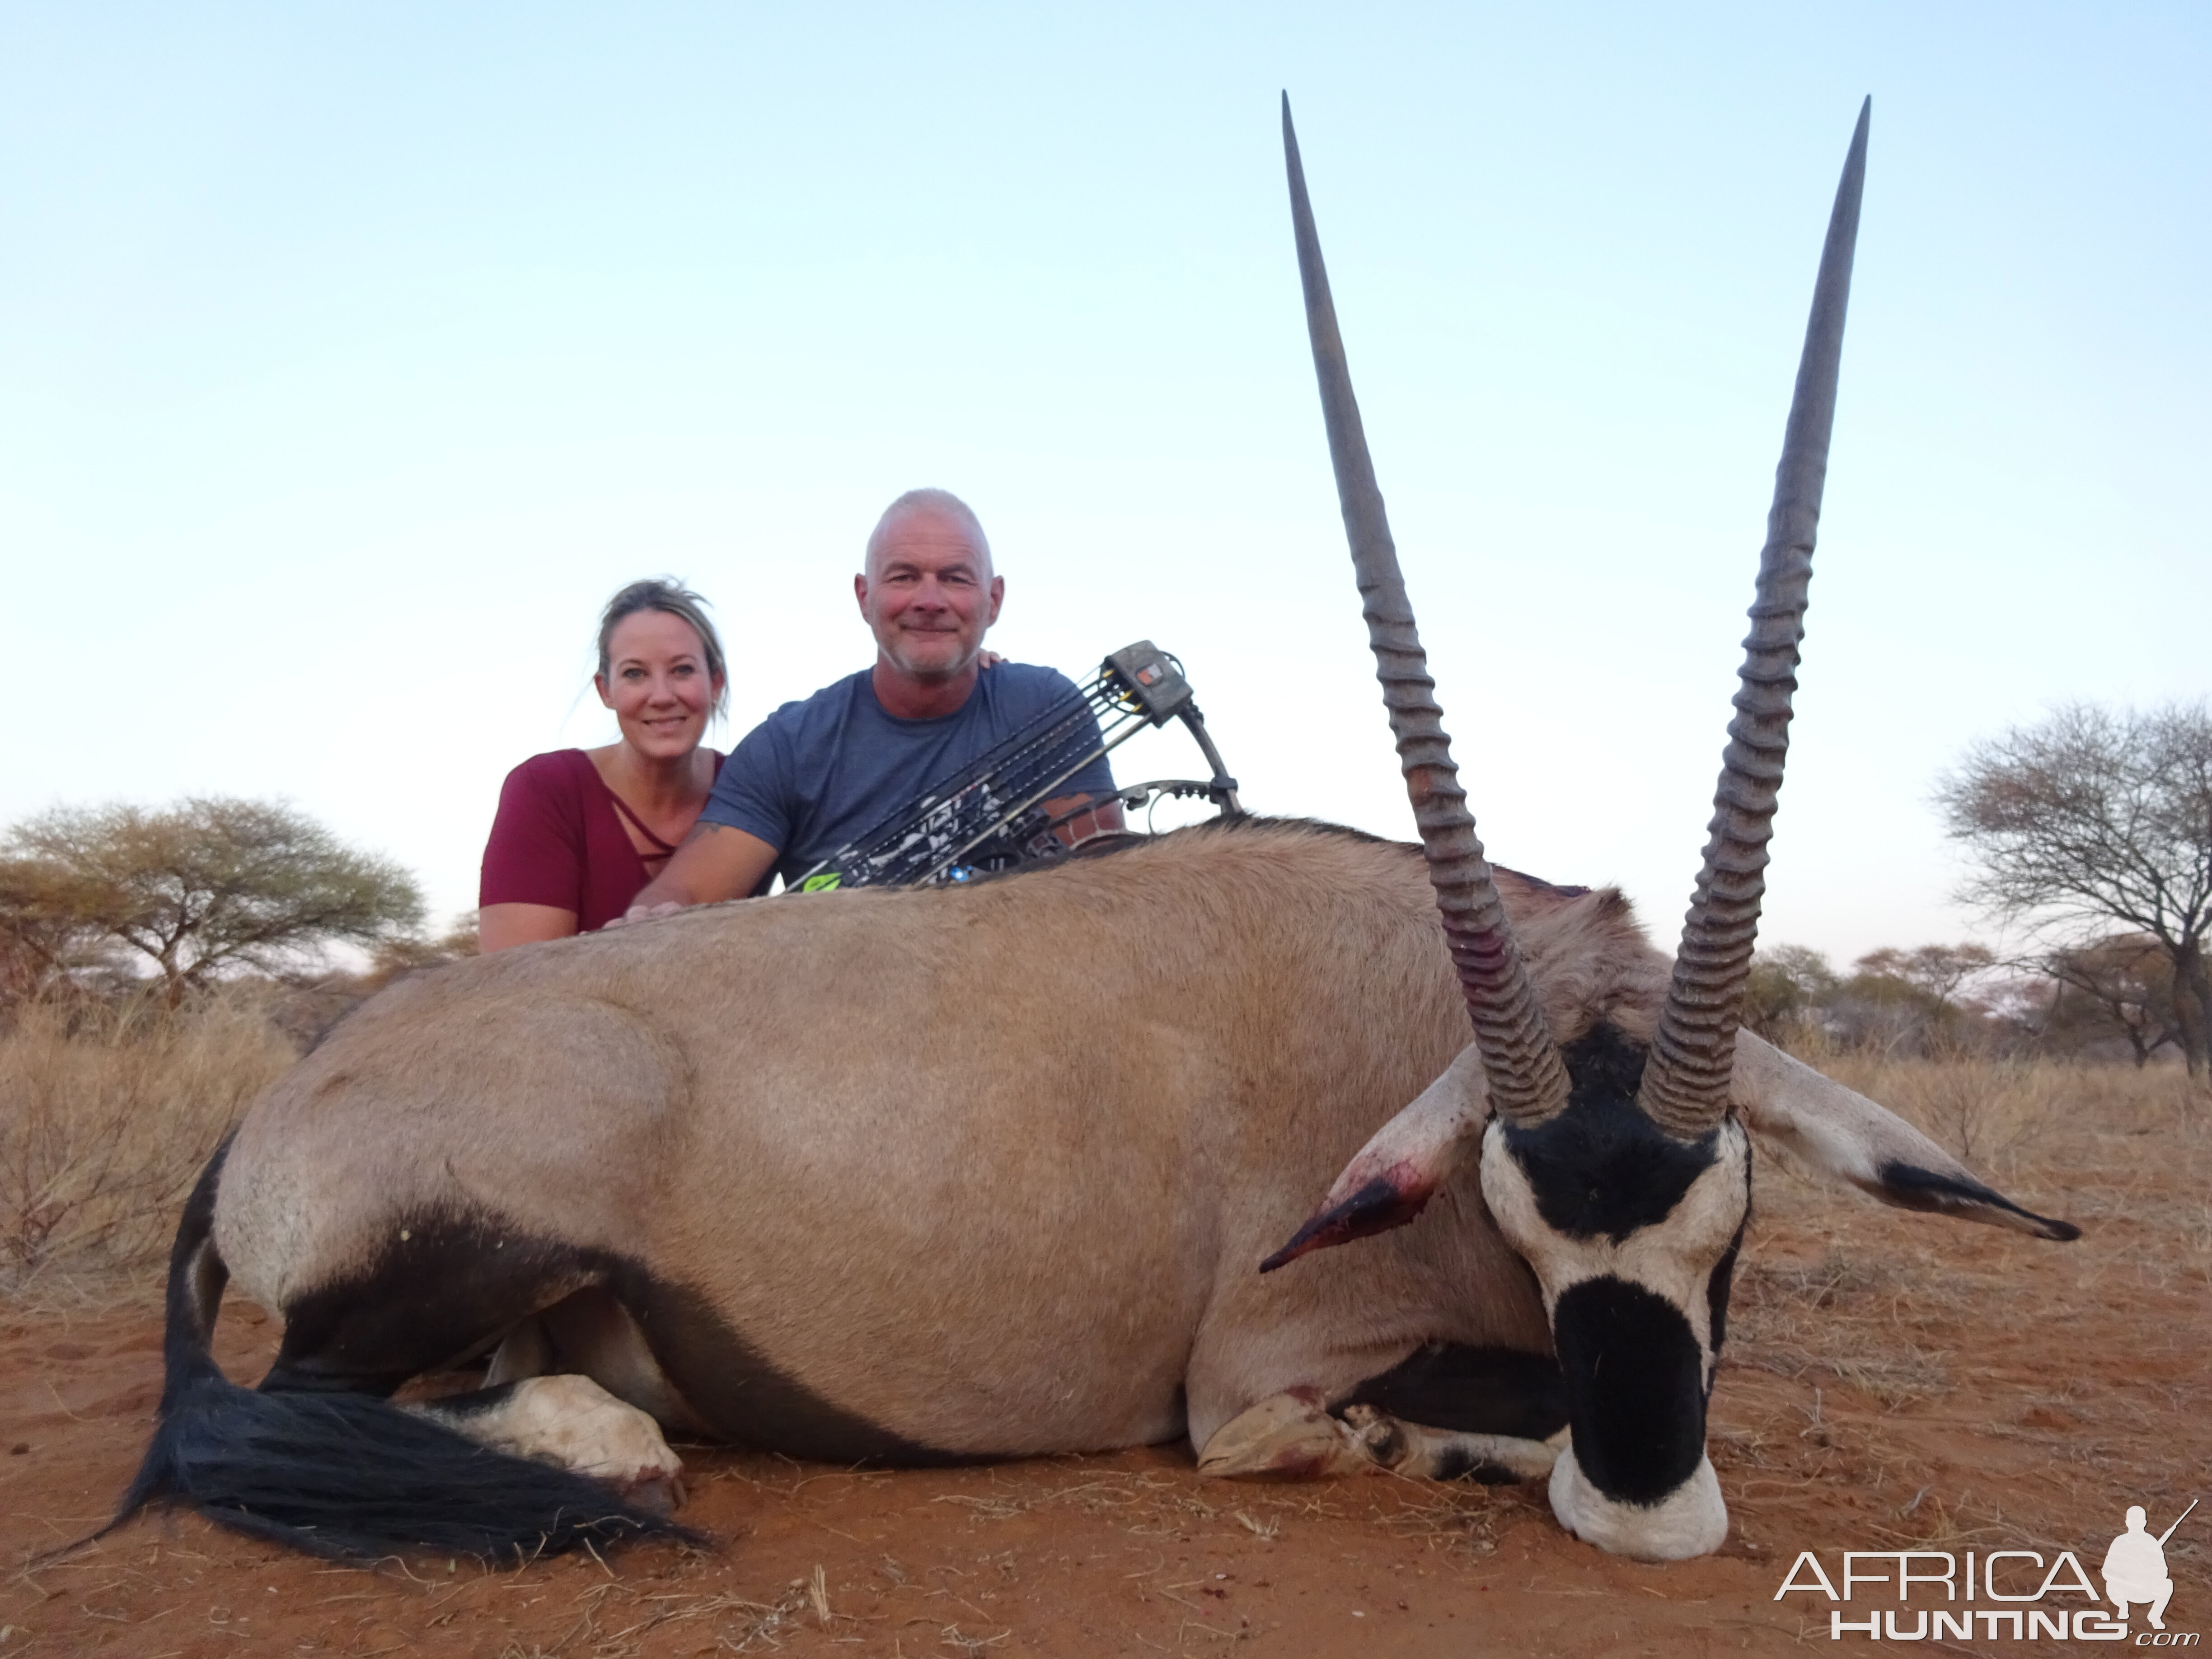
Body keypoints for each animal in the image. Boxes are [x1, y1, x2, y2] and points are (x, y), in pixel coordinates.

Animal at [104, 97, 2070, 1566]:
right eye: (1524, 1224)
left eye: (1730, 1211)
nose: (1644, 1502)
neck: (1408, 996)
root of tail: (283, 1105)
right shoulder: (1264, 1364)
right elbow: (1355, 1425)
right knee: (303, 1401)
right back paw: (612, 1436)